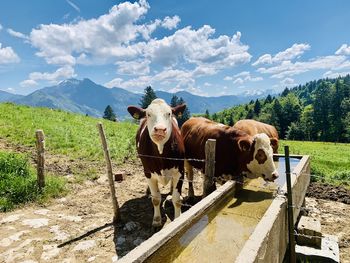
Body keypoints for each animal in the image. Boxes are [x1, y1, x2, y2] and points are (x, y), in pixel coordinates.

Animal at [126, 99, 186, 229]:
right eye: (148, 114)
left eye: (169, 113)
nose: (160, 129)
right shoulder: (148, 172)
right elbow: (156, 199)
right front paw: (157, 220)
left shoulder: (180, 171)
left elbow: (176, 199)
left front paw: (178, 219)